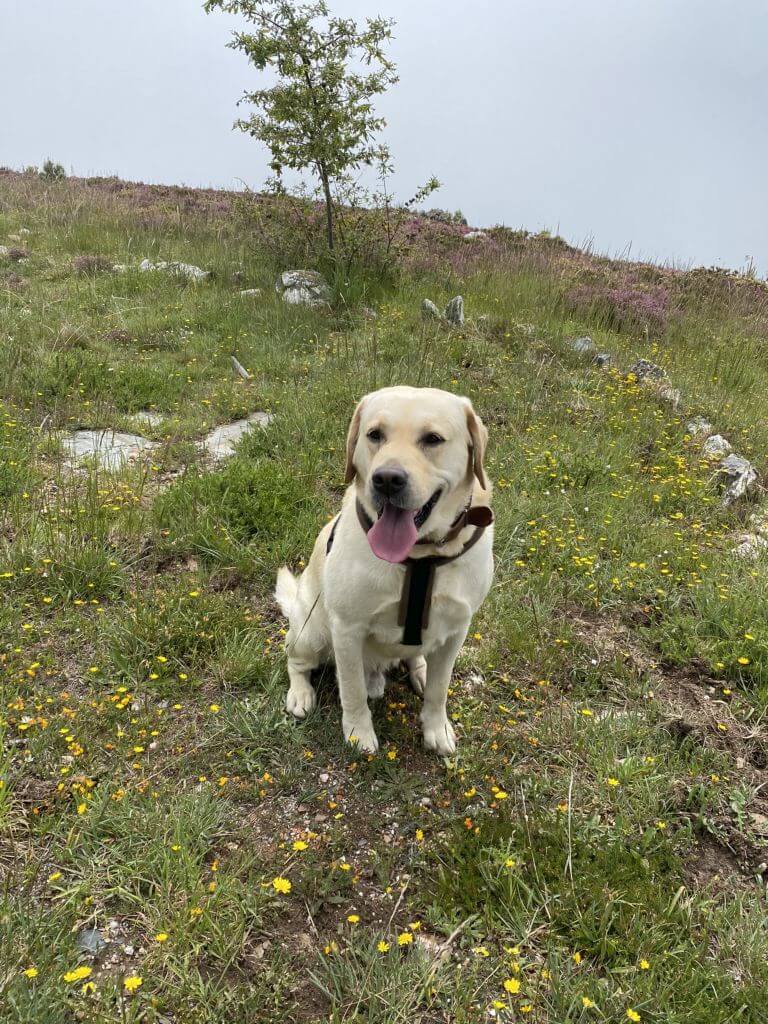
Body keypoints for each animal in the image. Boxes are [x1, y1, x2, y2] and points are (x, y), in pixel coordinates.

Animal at [274, 385, 495, 753]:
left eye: (433, 439)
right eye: (374, 434)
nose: (387, 480)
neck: (420, 556)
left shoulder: (457, 629)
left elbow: (439, 689)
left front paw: (436, 728)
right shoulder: (347, 629)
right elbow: (352, 689)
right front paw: (358, 733)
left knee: (418, 658)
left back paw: (420, 670)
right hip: (312, 631)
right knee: (296, 661)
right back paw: (300, 693)